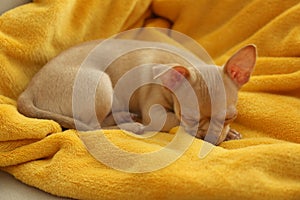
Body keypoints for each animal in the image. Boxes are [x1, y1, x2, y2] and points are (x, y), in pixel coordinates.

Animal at [17, 39, 255, 145]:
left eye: (230, 117)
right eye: (188, 117)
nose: (207, 137)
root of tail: (28, 91)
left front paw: (231, 133)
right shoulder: (155, 112)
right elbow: (172, 122)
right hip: (102, 85)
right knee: (92, 126)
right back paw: (131, 124)